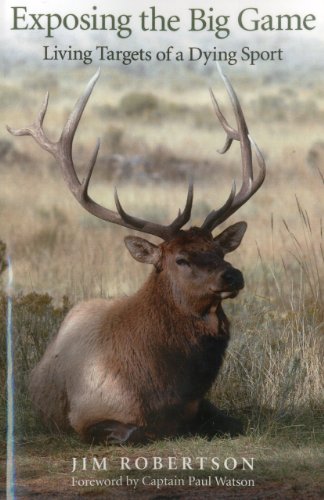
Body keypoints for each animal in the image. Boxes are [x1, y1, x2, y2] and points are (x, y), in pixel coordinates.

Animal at [8, 68, 266, 444]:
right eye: (180, 259)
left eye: (219, 250)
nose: (233, 275)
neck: (167, 388)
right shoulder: (86, 415)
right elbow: (134, 433)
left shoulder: (202, 405)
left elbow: (236, 423)